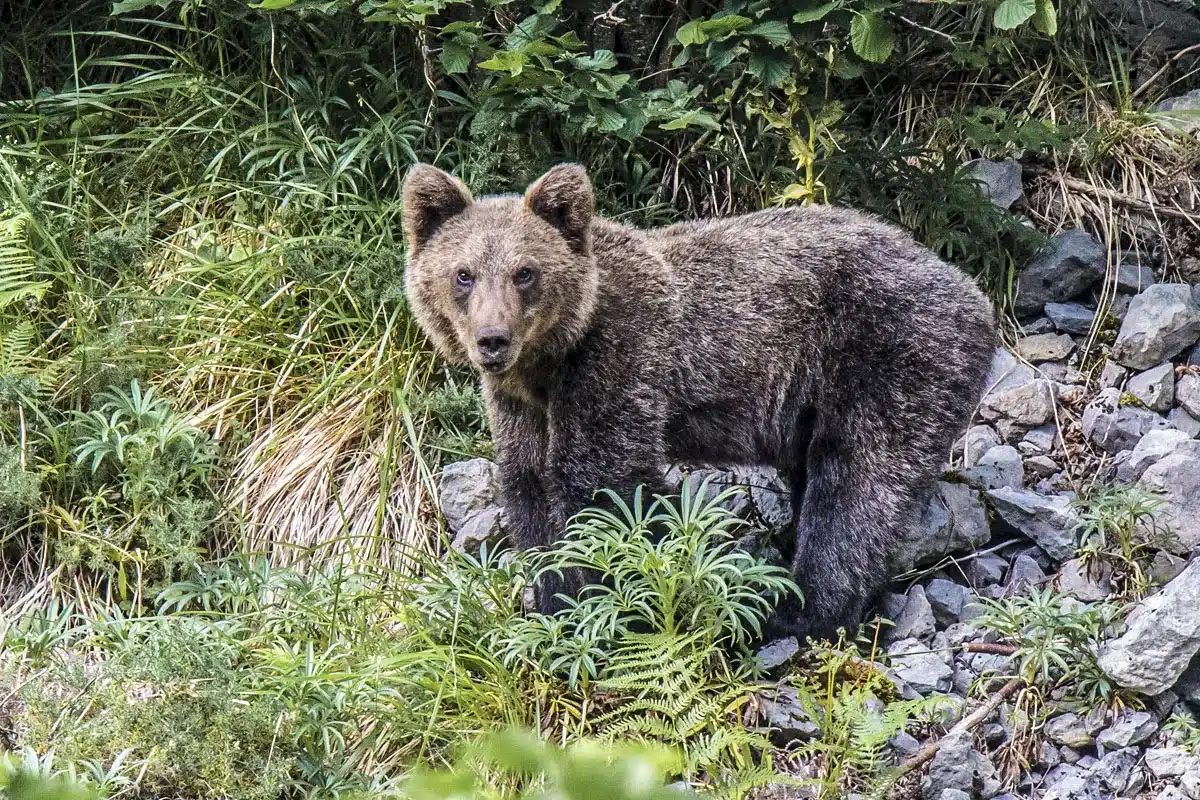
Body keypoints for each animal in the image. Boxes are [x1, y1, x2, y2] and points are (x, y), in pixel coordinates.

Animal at [402, 162, 997, 642]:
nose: (493, 339)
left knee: (857, 483)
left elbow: (598, 482)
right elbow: (526, 484)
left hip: (887, 353)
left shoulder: (620, 361)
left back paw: (795, 608)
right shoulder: (521, 403)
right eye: (463, 274)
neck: (551, 362)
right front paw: (554, 602)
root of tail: (973, 291)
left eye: (525, 272)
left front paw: (604, 607)